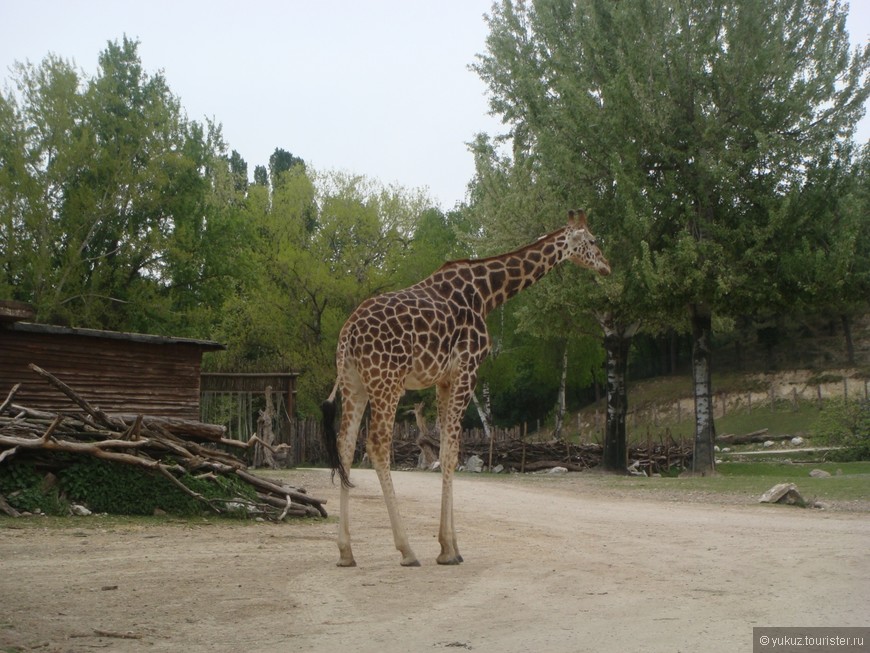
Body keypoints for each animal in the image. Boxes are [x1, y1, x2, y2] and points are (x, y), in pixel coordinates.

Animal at [322, 209, 612, 564]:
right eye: (593, 241)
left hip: (354, 383)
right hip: (386, 381)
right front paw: (448, 549)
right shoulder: (468, 368)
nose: (606, 266)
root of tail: (347, 334)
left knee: (345, 445)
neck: (488, 293)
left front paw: (450, 546)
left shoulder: (444, 379)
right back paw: (406, 549)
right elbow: (450, 453)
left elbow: (446, 448)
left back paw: (345, 552)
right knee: (376, 445)